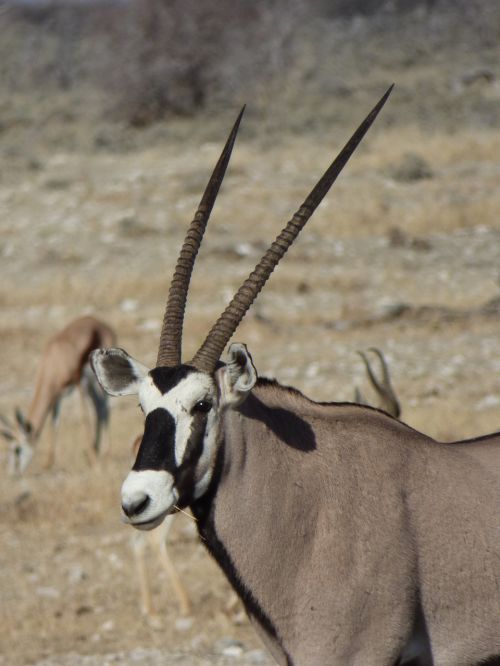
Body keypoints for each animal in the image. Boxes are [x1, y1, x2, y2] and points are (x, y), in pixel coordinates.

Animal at [0, 312, 115, 472]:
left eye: (17, 449)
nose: (13, 473)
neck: (55, 359)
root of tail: (103, 325)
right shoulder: (57, 395)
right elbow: (54, 423)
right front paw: (49, 463)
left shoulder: (80, 383)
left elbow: (84, 418)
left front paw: (93, 459)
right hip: (93, 384)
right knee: (99, 407)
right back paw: (97, 449)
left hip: (99, 382)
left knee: (105, 408)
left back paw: (106, 452)